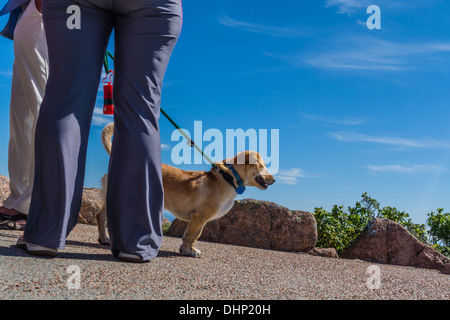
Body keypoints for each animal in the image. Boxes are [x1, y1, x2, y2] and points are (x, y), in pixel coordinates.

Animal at [96, 122, 276, 258]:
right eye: (261, 166)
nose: (274, 180)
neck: (228, 177)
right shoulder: (199, 217)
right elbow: (189, 235)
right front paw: (187, 251)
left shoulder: (202, 219)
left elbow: (196, 235)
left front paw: (192, 249)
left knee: (100, 216)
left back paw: (104, 239)